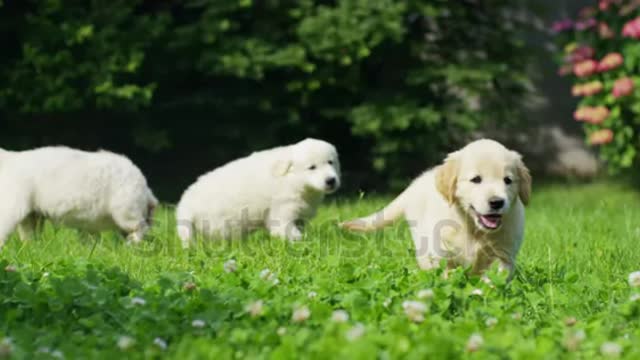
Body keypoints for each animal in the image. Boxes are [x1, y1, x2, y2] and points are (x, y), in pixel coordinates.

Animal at [176, 138, 340, 248]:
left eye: (330, 162)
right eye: (312, 167)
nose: (331, 180)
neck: (293, 179)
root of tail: (185, 206)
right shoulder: (283, 208)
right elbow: (286, 229)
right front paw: (299, 242)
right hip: (220, 223)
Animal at [342, 139, 532, 278]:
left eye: (507, 180)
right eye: (476, 179)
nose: (497, 202)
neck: (473, 228)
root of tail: (417, 182)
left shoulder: (504, 253)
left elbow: (496, 278)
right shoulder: (442, 253)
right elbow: (446, 275)